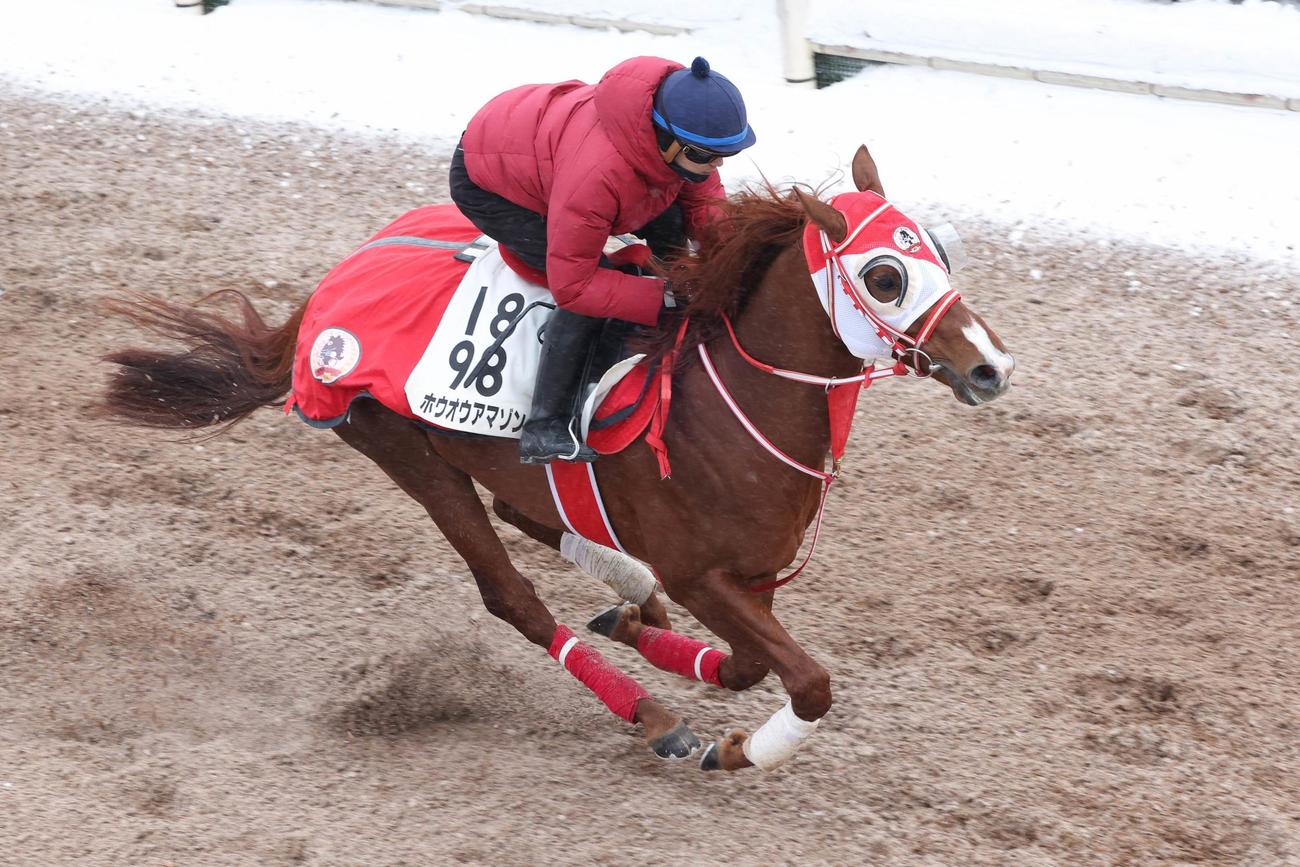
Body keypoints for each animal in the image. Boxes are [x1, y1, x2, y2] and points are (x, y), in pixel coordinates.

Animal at [102, 145, 1014, 772]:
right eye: (886, 275)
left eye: (938, 251)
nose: (990, 367)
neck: (730, 406)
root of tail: (335, 282)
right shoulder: (705, 576)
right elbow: (807, 682)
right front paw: (735, 750)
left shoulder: (750, 578)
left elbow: (752, 665)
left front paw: (659, 642)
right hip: (405, 450)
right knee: (512, 594)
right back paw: (651, 713)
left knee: (533, 513)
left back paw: (630, 605)